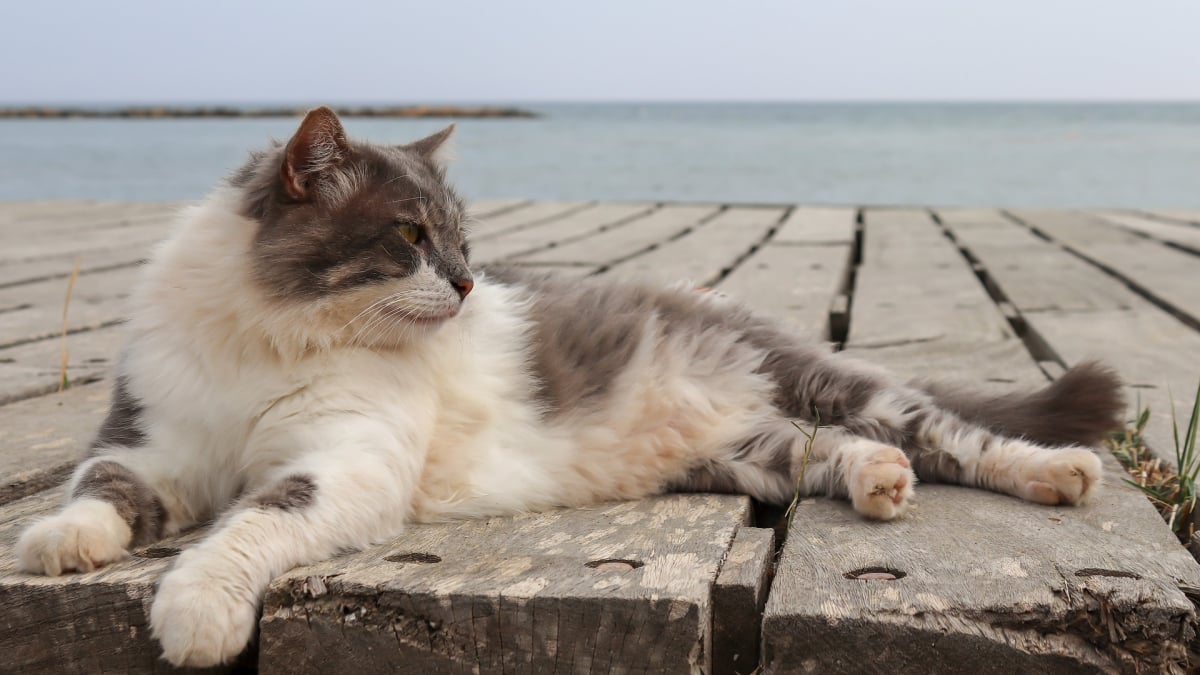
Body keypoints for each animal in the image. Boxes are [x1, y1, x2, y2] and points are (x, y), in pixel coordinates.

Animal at [11, 107, 1123, 662]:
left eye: (464, 242)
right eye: (412, 235)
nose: (466, 283)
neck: (274, 336)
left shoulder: (345, 460)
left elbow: (252, 521)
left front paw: (196, 609)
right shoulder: (149, 437)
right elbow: (102, 489)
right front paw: (59, 543)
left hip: (828, 385)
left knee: (956, 435)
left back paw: (1056, 471)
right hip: (751, 457)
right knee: (847, 453)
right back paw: (881, 482)